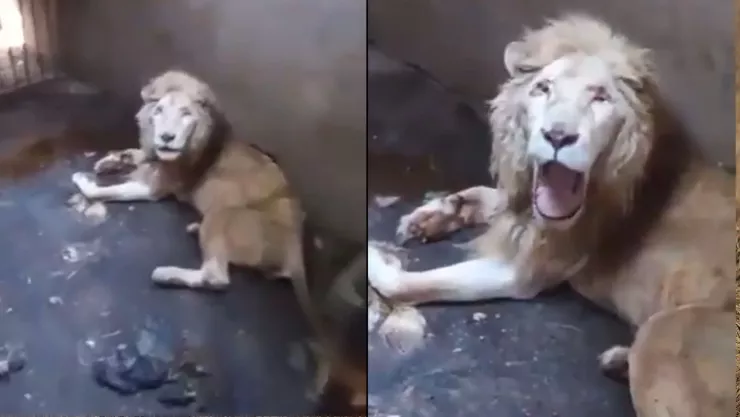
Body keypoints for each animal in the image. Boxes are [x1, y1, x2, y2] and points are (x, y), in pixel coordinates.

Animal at [71, 70, 305, 289]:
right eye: (158, 110)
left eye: (185, 114)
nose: (166, 137)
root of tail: (296, 254)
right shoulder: (153, 156)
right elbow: (136, 153)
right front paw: (109, 161)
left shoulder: (155, 188)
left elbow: (101, 190)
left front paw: (82, 178)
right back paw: (194, 229)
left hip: (224, 213)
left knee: (216, 277)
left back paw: (165, 274)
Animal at [367, 14, 734, 417]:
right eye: (543, 88)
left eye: (600, 96)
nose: (557, 136)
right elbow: (487, 196)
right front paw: (430, 216)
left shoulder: (528, 272)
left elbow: (406, 283)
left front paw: (374, 254)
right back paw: (619, 361)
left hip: (667, 330)